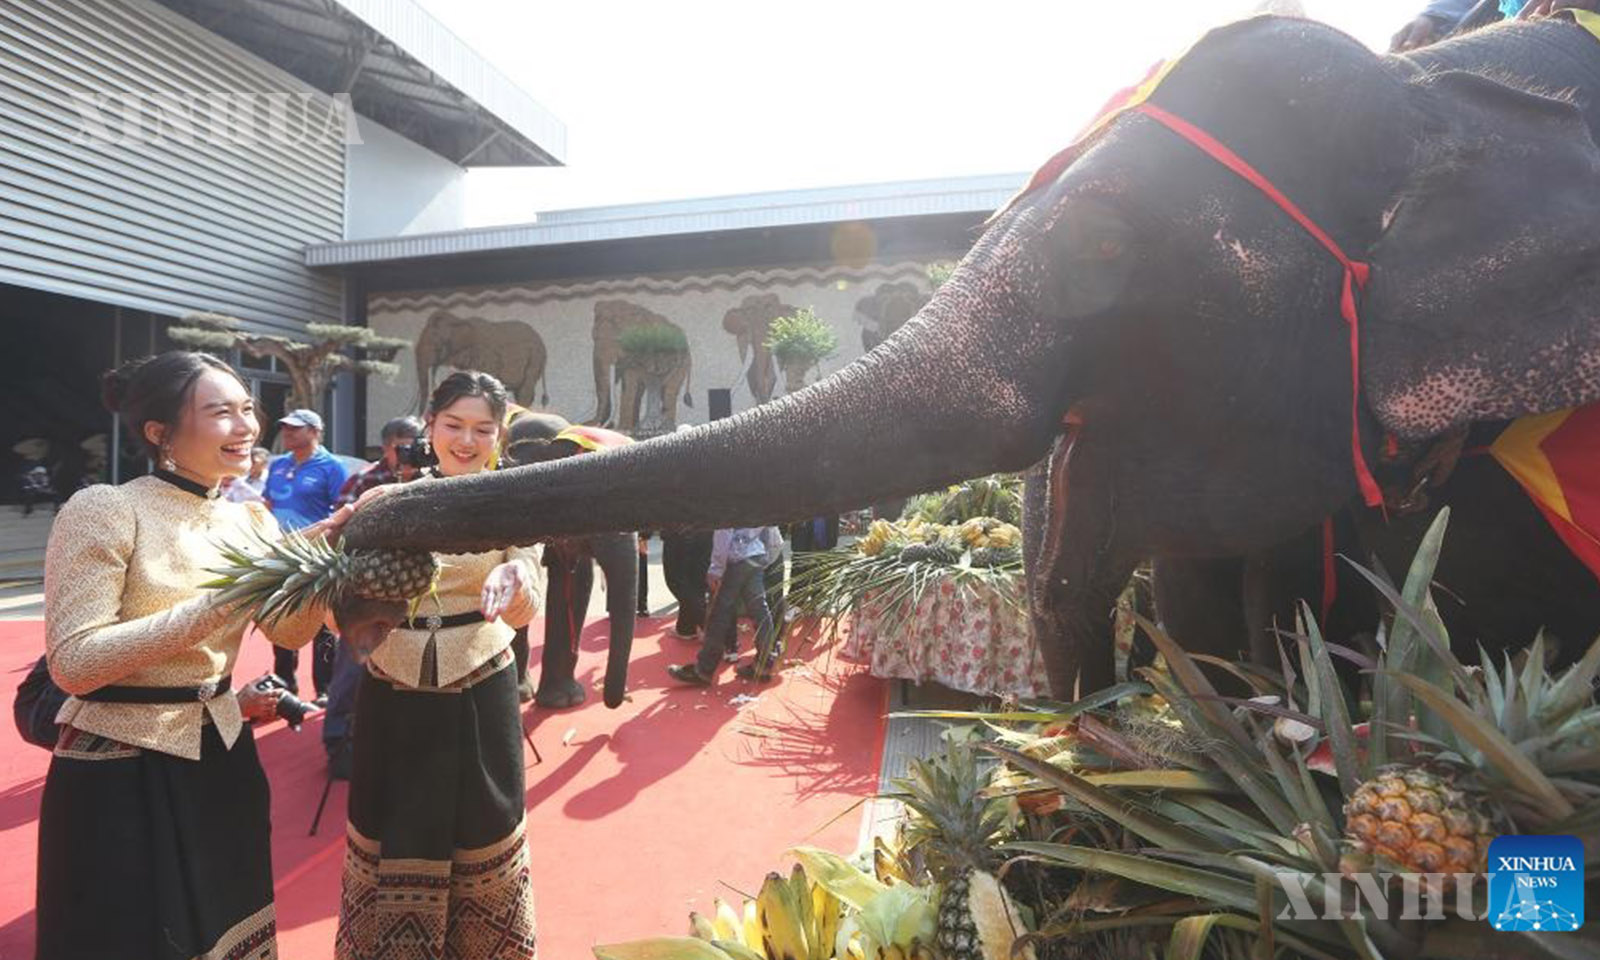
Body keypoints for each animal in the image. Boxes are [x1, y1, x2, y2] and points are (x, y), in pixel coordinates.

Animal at [590, 300, 693, 431]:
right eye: (594, 337)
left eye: (619, 340)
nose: (609, 425)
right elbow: (635, 386)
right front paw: (629, 429)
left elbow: (630, 384)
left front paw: (623, 430)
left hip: (681, 364)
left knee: (669, 391)